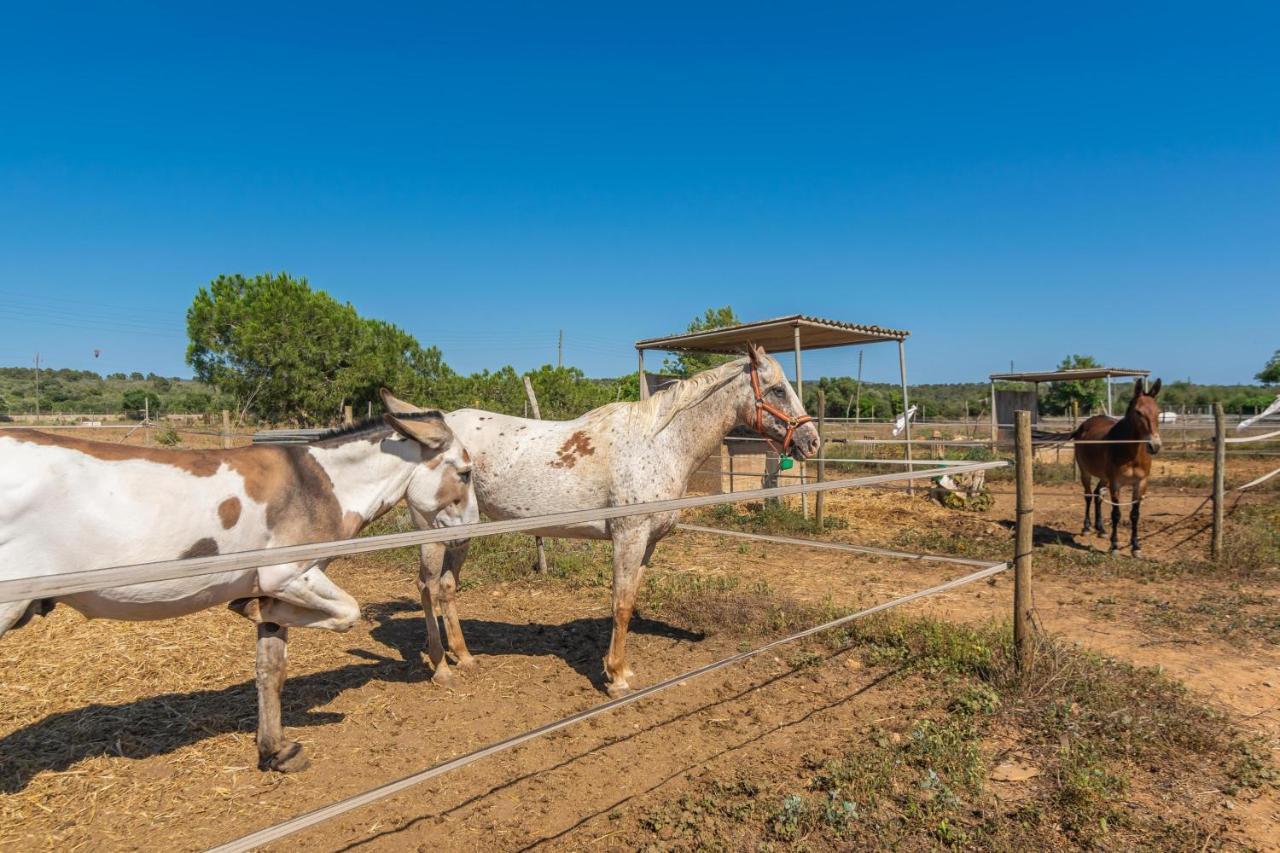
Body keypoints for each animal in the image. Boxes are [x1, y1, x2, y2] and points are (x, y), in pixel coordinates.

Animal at [0, 412, 478, 768]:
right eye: (466, 473)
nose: (472, 532)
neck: (319, 483)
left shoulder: (285, 589)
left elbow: (271, 670)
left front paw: (275, 751)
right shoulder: (287, 574)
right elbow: (347, 612)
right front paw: (246, 605)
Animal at [378, 343, 819, 696]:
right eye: (778, 389)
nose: (811, 441)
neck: (660, 443)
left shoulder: (646, 543)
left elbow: (630, 598)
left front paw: (622, 669)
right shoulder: (628, 537)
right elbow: (620, 604)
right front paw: (616, 678)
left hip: (463, 530)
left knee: (447, 587)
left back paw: (465, 657)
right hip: (431, 532)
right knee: (427, 587)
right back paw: (440, 668)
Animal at [1075, 376, 1167, 550]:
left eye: (1158, 412)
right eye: (1138, 412)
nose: (1154, 445)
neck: (1131, 454)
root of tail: (1084, 425)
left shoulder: (1141, 483)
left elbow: (1135, 514)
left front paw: (1135, 546)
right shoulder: (1116, 483)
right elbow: (1116, 514)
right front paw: (1114, 545)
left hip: (1104, 477)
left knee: (1097, 495)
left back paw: (1101, 529)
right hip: (1085, 472)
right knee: (1088, 495)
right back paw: (1086, 527)